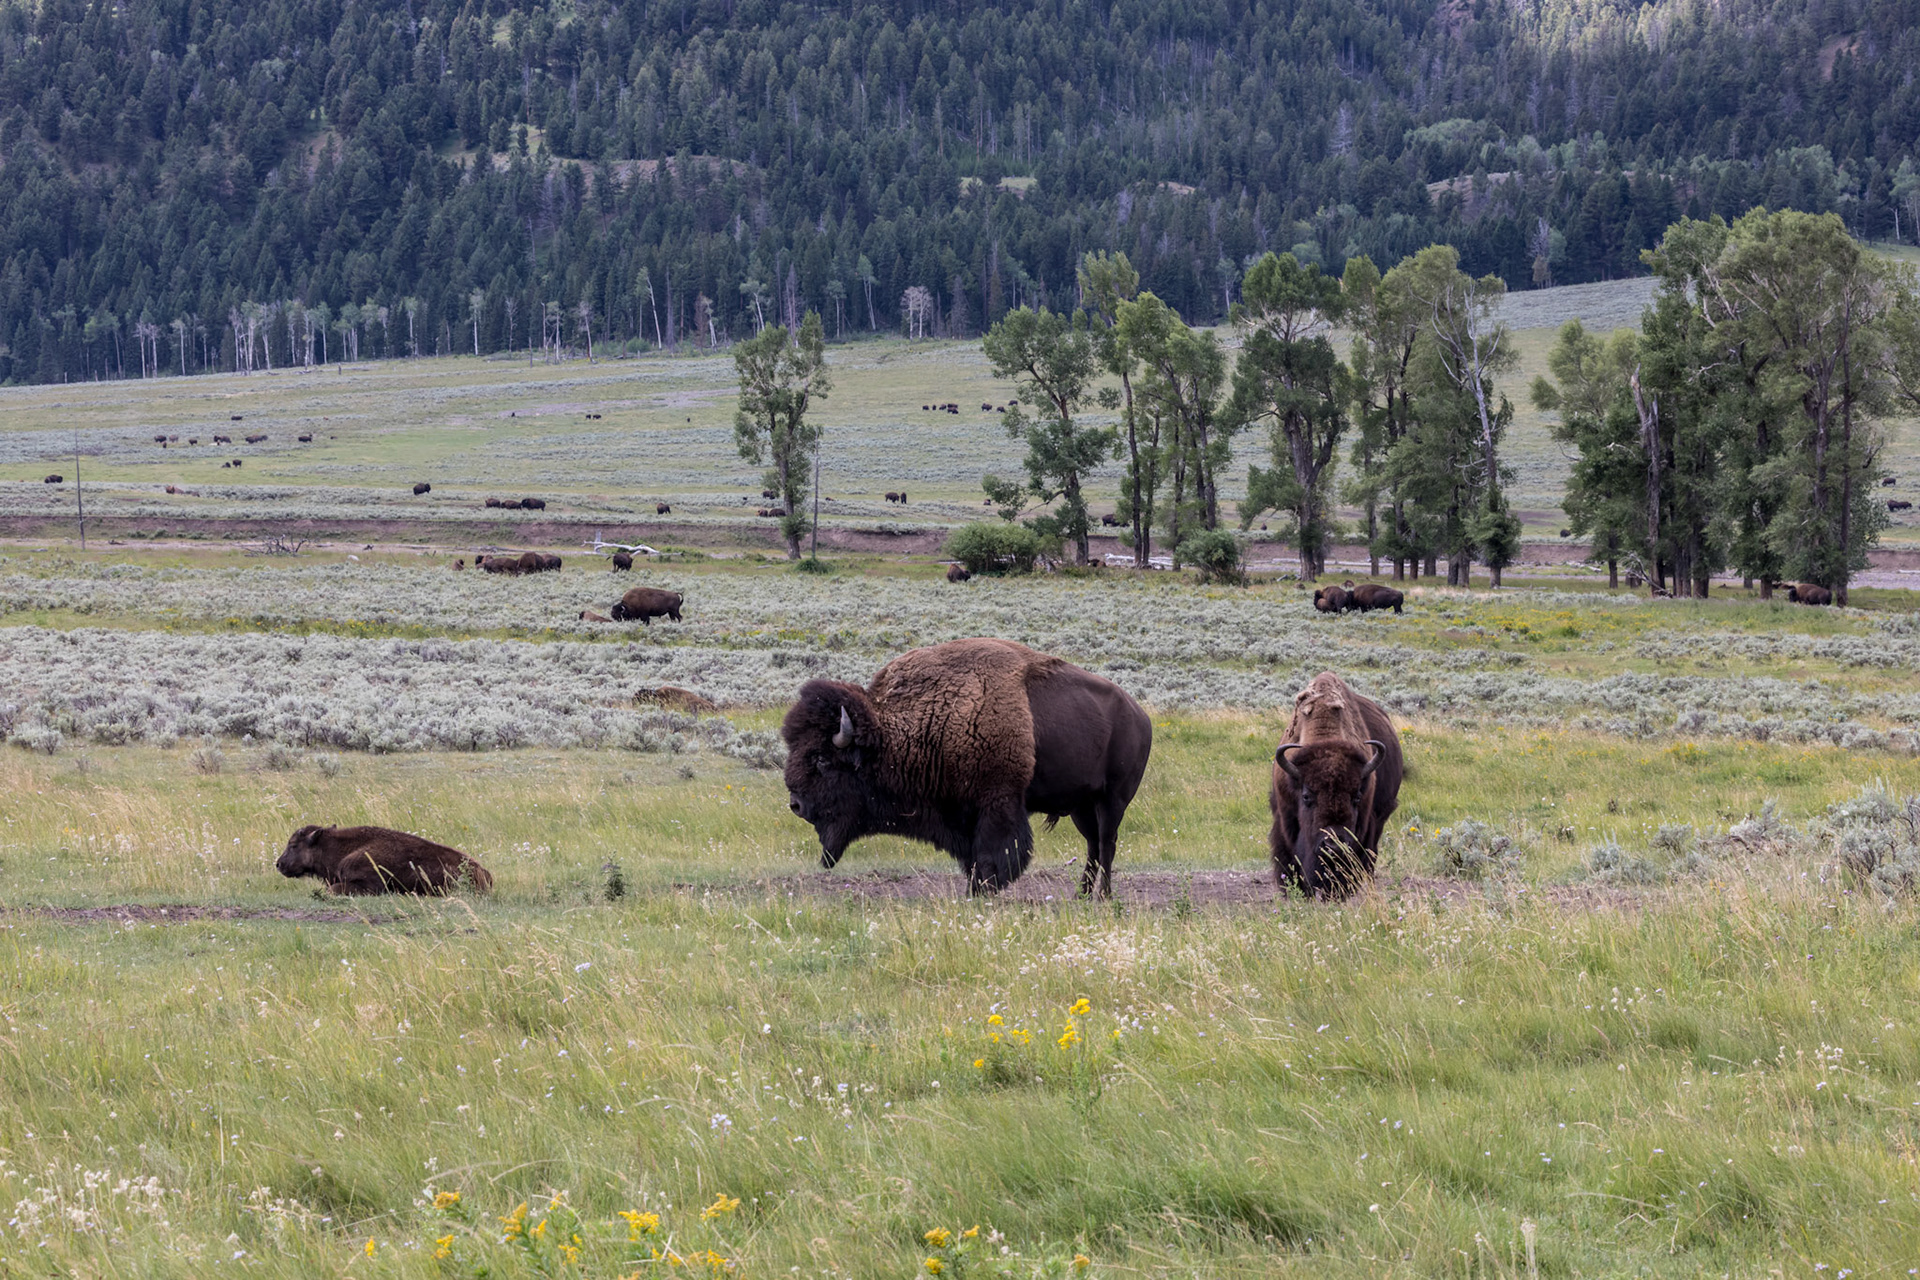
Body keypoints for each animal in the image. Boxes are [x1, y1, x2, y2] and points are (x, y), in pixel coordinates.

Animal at [780, 637, 1153, 897]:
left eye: (822, 759)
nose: (796, 804)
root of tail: (1140, 715)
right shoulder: (961, 815)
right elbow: (972, 858)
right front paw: (972, 890)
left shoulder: (997, 805)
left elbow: (991, 857)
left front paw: (981, 892)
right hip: (1080, 806)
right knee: (1093, 846)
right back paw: (1081, 895)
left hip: (1112, 801)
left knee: (1106, 844)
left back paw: (1103, 897)